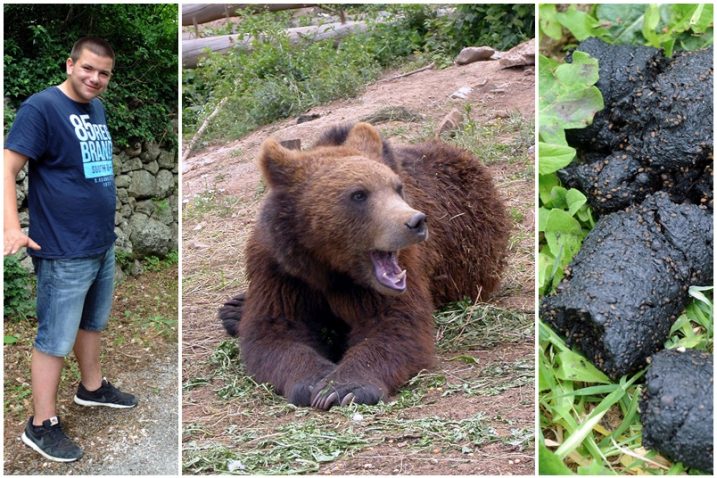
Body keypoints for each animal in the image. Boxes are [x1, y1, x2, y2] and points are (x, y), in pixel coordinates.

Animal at [220, 123, 510, 410]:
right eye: (358, 194)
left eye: (397, 188)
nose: (415, 222)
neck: (327, 265)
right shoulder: (280, 269)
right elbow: (276, 330)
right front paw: (313, 381)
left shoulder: (395, 274)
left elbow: (393, 325)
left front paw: (343, 388)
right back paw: (233, 310)